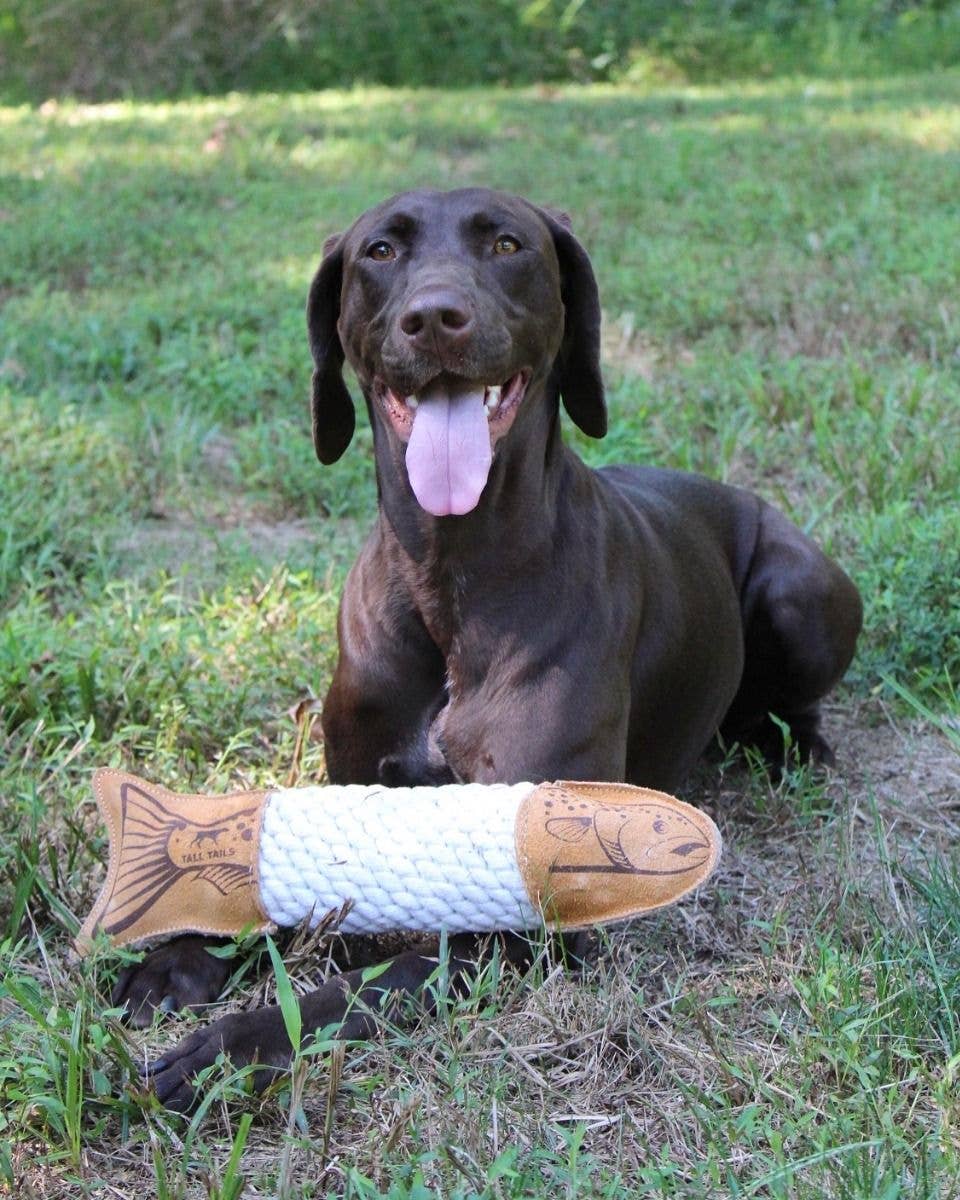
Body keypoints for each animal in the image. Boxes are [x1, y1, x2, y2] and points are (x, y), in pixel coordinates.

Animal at [129, 192, 864, 1108]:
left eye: (508, 244)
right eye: (380, 251)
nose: (435, 318)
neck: (452, 574)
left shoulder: (527, 917)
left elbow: (368, 986)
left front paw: (225, 1048)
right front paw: (180, 958)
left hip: (796, 597)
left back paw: (791, 743)